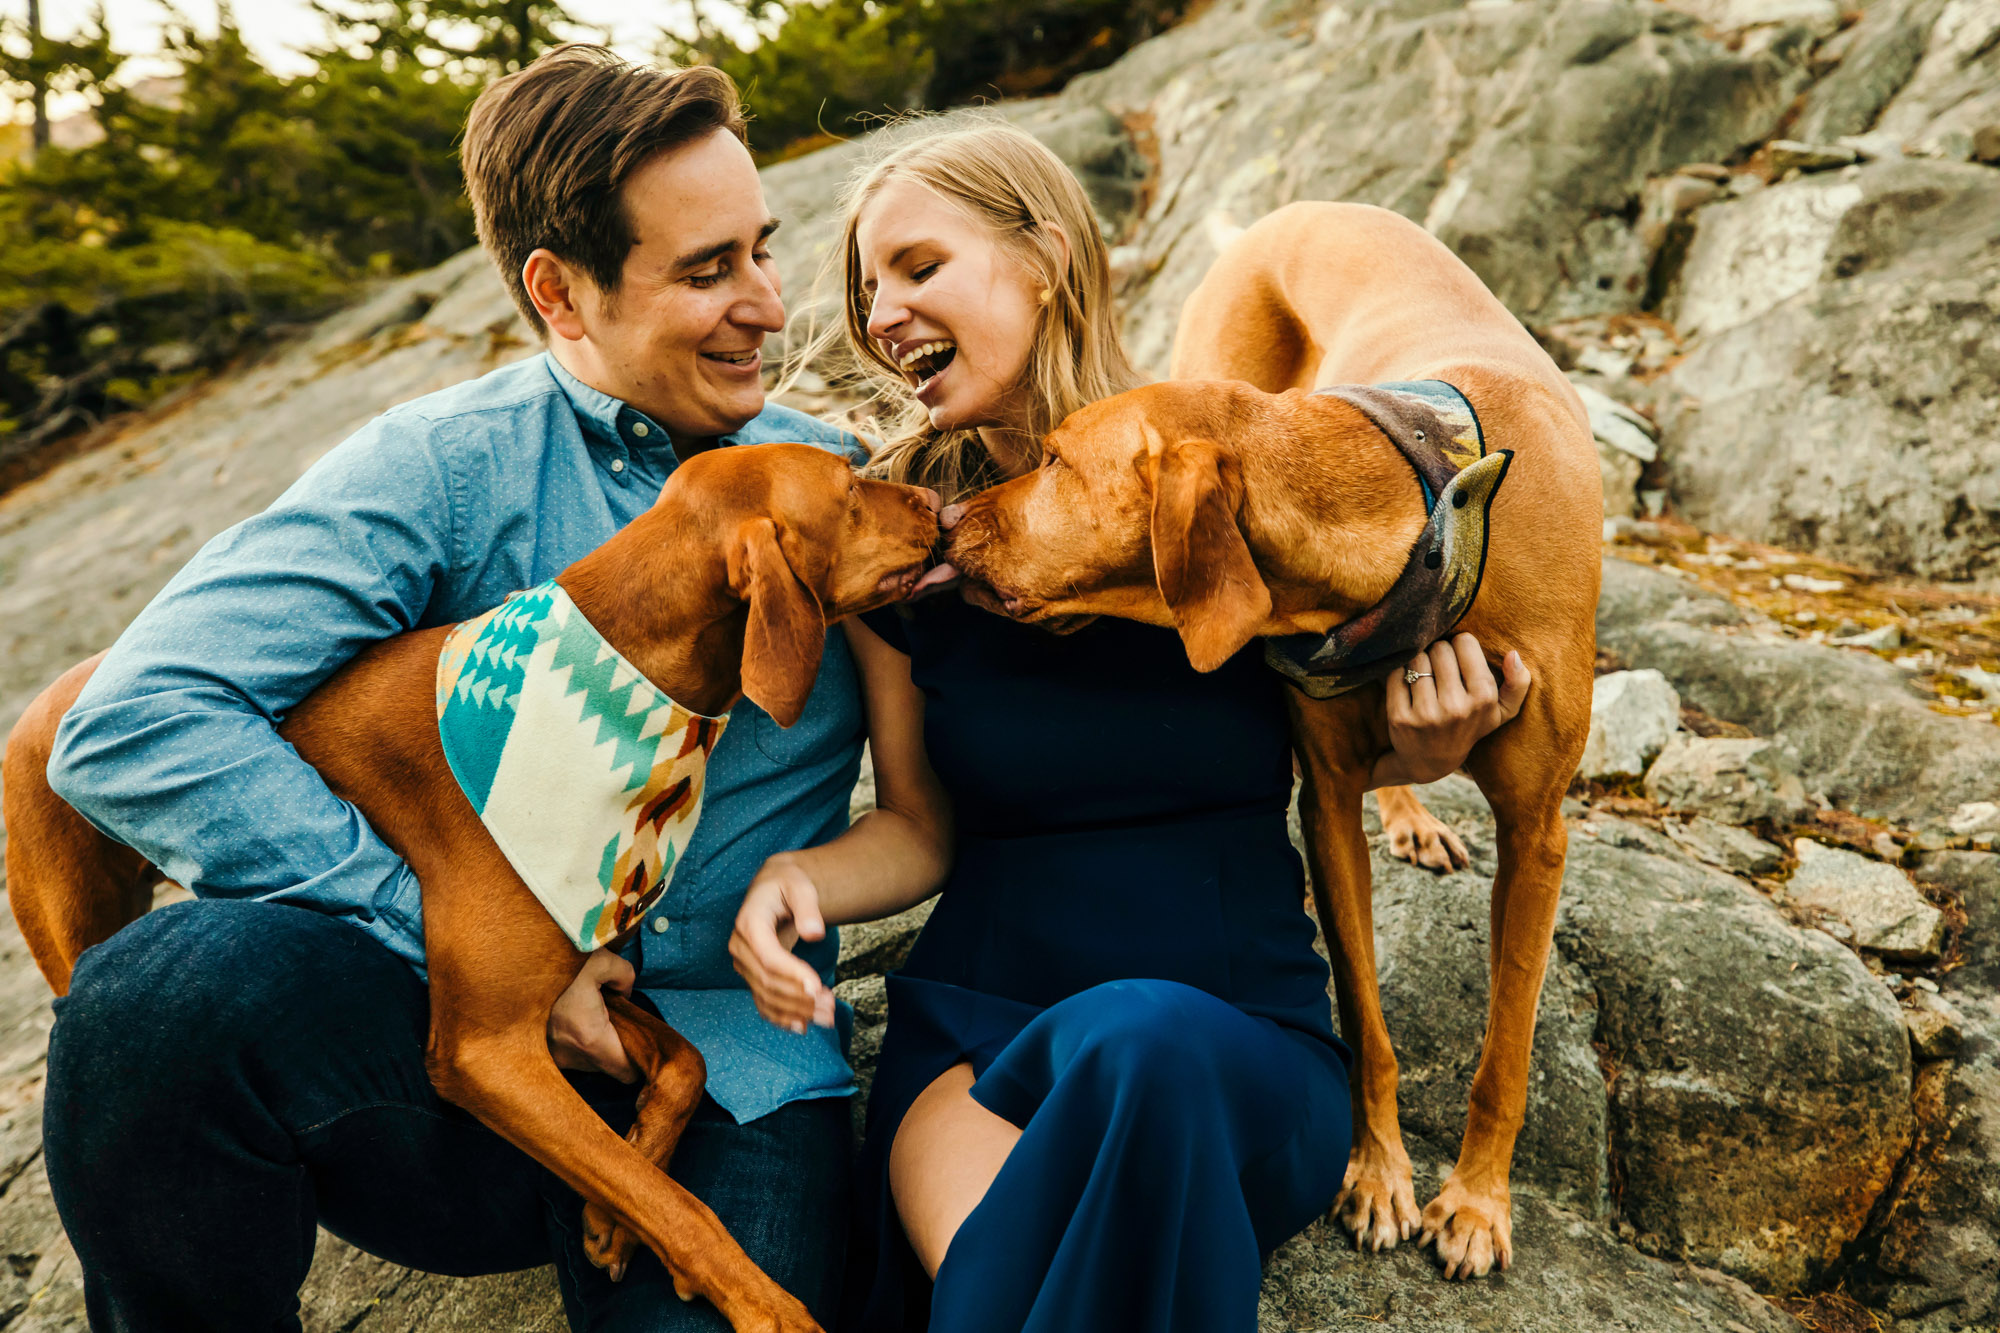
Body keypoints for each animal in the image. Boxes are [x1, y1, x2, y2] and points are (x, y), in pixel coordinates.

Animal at [3, 440, 940, 1320]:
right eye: (851, 489)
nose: (933, 499)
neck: (624, 663)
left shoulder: (583, 973)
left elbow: (684, 1069)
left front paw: (610, 1219)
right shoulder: (486, 1048)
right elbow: (678, 1204)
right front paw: (767, 1307)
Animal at [940, 202, 1608, 1272]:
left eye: (1056, 461)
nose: (951, 512)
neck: (1425, 528)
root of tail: (1296, 210)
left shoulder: (1538, 830)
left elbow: (1507, 1046)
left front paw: (1476, 1202)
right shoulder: (1325, 797)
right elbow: (1364, 1019)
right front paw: (1376, 1174)